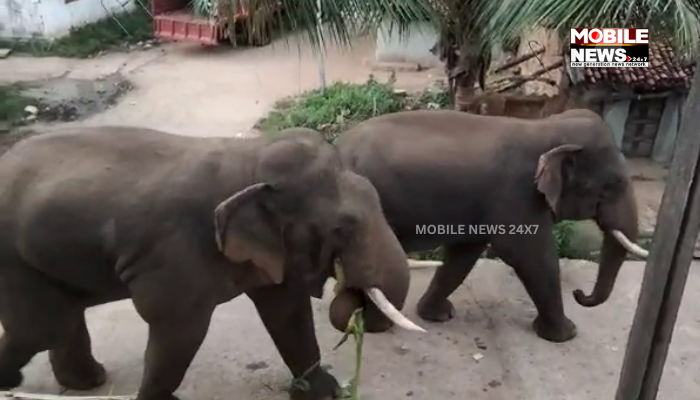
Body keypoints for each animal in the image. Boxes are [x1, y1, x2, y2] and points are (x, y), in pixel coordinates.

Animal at [0, 126, 425, 400]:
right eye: (343, 228)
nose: (355, 303)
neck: (250, 158)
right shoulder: (177, 256)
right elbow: (180, 333)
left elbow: (288, 312)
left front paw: (324, 393)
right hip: (13, 258)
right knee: (41, 328)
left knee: (59, 320)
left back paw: (86, 382)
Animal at [335, 108, 649, 343]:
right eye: (612, 185)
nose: (580, 294)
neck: (547, 127)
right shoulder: (517, 195)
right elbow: (532, 257)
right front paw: (566, 334)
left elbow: (464, 254)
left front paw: (438, 315)